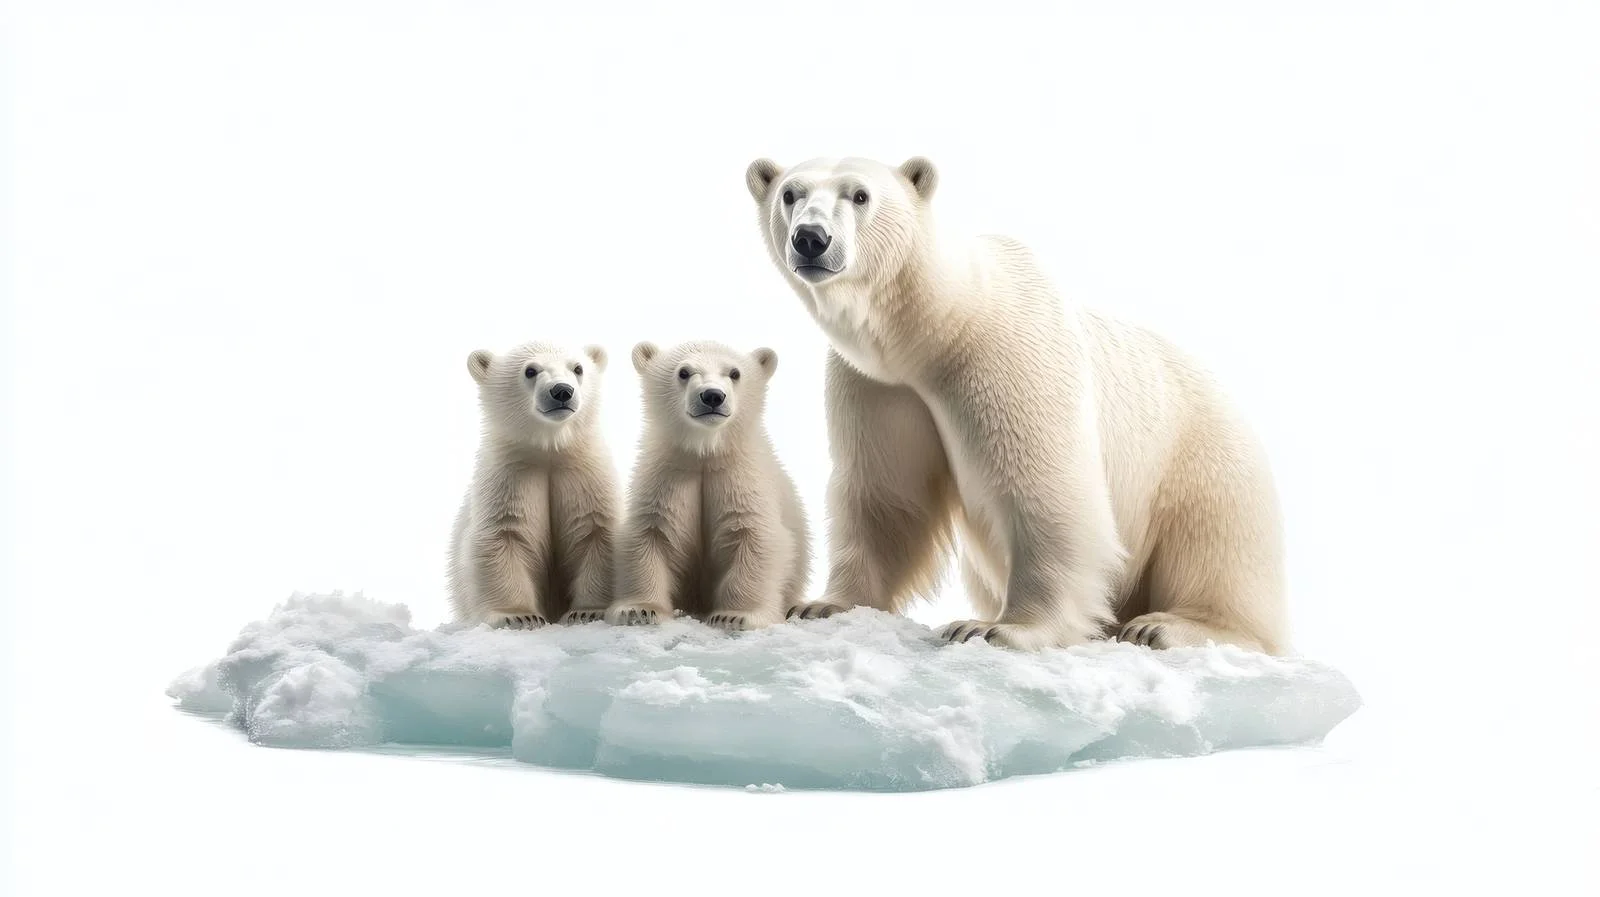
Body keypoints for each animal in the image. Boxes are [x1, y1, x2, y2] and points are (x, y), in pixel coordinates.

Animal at [446, 341, 620, 629]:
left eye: (578, 368)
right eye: (530, 370)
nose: (562, 391)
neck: (550, 449)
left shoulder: (584, 477)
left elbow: (594, 530)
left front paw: (587, 612)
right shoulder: (511, 478)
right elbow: (505, 536)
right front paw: (518, 616)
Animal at [605, 340, 811, 631]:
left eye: (734, 373)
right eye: (683, 372)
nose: (713, 396)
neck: (705, 452)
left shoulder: (740, 481)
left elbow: (755, 536)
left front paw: (734, 616)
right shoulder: (668, 477)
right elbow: (649, 535)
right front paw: (637, 610)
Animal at [743, 155, 1290, 655]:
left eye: (859, 195)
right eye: (790, 193)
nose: (811, 238)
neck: (936, 329)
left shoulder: (1007, 354)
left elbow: (1043, 489)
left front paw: (998, 629)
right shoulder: (881, 386)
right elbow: (887, 494)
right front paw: (823, 604)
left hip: (1203, 458)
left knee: (1215, 546)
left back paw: (1166, 626)